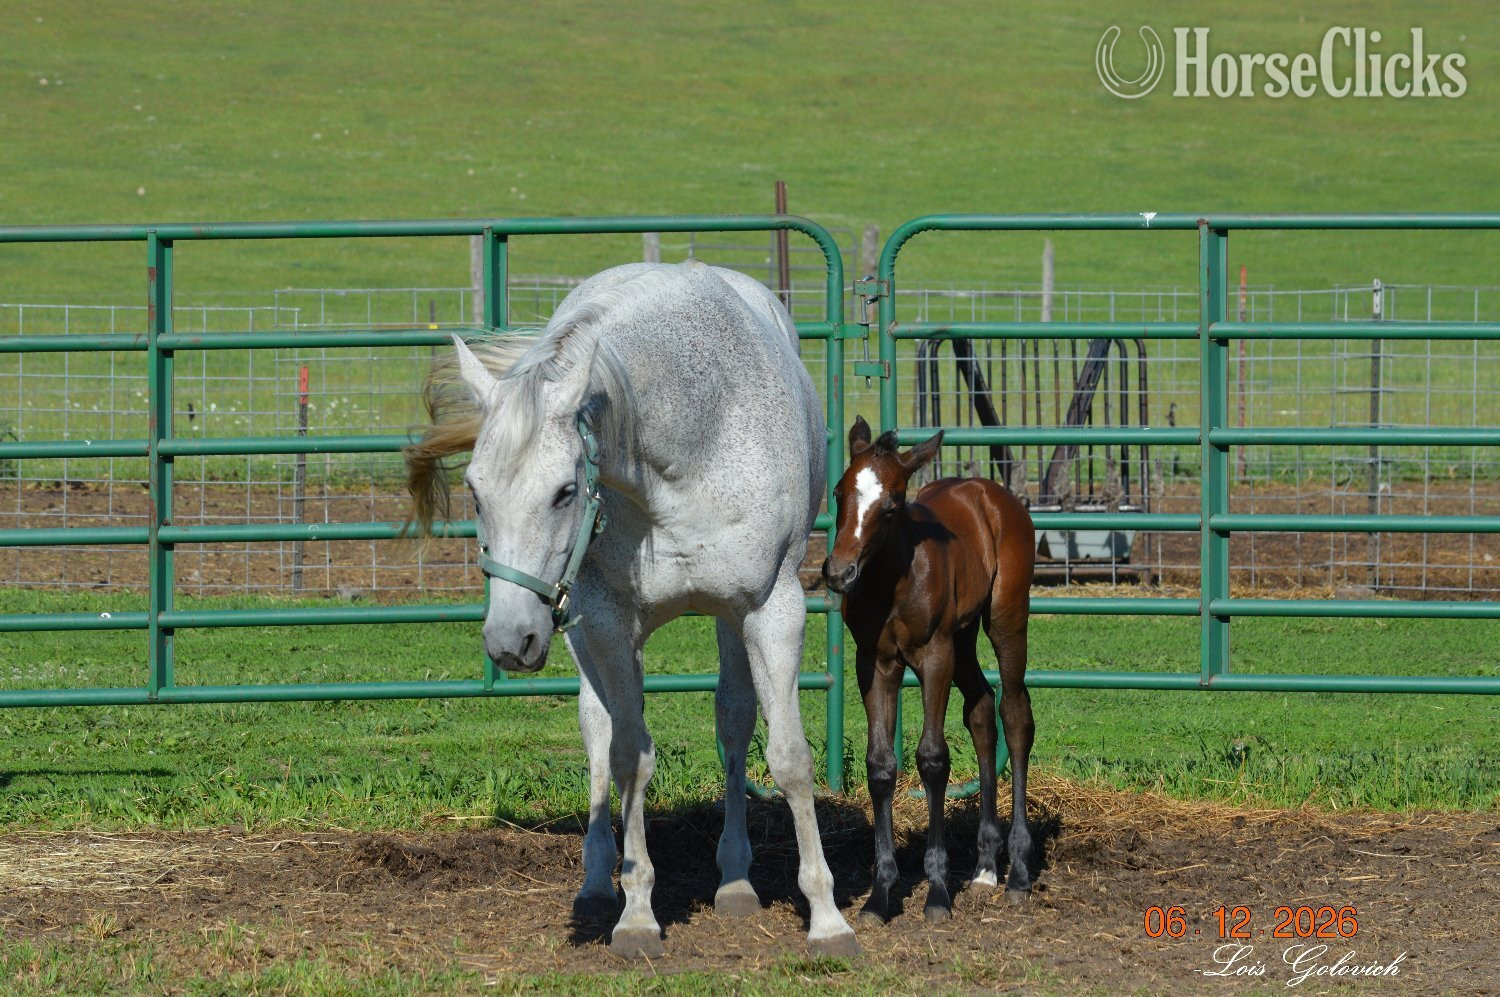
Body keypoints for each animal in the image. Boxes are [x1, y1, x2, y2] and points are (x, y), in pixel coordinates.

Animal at [404, 261, 858, 959]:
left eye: (565, 490)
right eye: (476, 491)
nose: (510, 640)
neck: (692, 441)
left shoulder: (771, 609)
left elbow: (788, 756)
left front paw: (828, 918)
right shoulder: (608, 623)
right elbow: (628, 758)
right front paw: (637, 912)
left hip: (715, 621)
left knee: (732, 721)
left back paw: (734, 880)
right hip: (578, 625)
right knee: (599, 730)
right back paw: (598, 883)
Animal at [822, 416, 1036, 924]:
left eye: (892, 504)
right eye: (839, 491)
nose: (838, 572)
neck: (892, 579)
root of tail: (989, 492)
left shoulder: (934, 656)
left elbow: (933, 759)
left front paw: (937, 890)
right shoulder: (874, 663)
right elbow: (881, 765)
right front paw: (880, 894)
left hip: (1005, 620)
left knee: (1015, 714)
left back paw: (1017, 873)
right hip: (964, 637)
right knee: (981, 709)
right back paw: (984, 869)